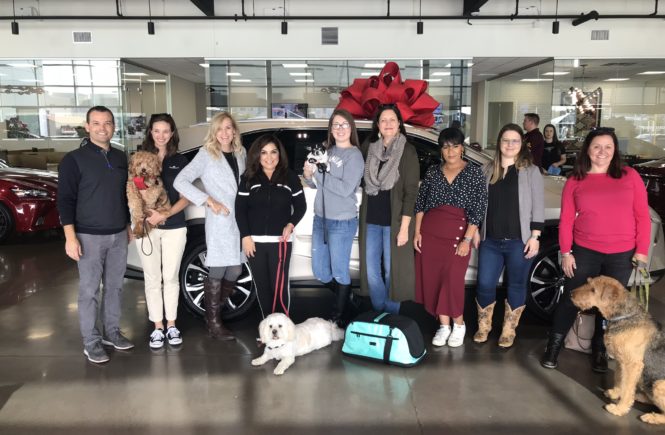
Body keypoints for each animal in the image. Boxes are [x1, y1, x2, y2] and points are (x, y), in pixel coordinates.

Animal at [571, 276, 665, 424]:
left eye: (593, 289)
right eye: (588, 282)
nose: (571, 294)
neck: (624, 316)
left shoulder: (632, 365)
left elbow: (626, 389)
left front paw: (619, 409)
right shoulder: (622, 361)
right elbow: (620, 380)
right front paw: (615, 393)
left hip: (658, 384)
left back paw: (651, 416)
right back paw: (639, 397)